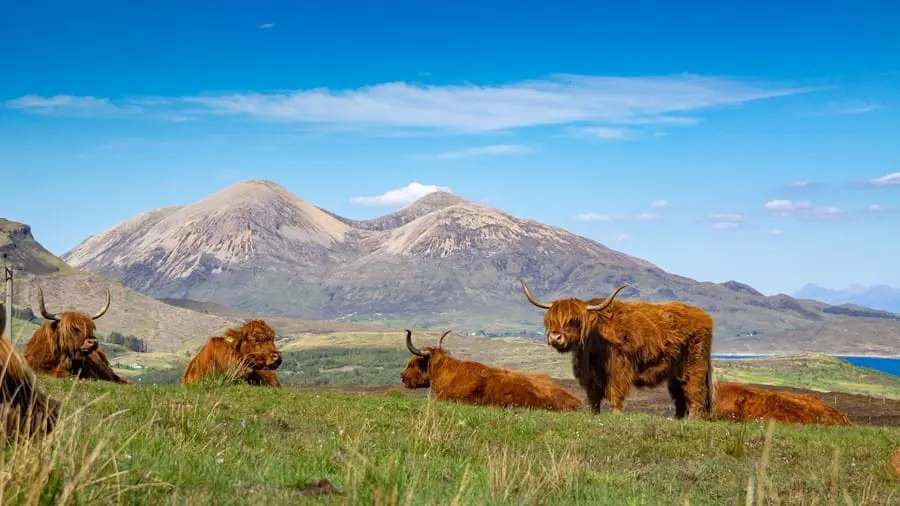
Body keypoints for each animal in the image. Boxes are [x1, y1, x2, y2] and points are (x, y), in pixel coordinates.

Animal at [520, 279, 715, 420]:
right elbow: (594, 396)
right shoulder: (590, 376)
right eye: (551, 321)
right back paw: (677, 419)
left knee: (695, 391)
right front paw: (594, 415)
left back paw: (692, 419)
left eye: (574, 321)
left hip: (695, 365)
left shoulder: (617, 369)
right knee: (679, 394)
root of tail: (704, 316)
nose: (555, 337)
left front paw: (616, 414)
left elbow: (615, 392)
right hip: (675, 372)